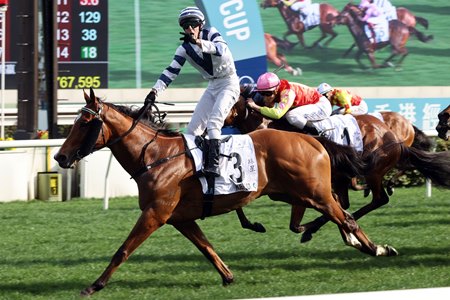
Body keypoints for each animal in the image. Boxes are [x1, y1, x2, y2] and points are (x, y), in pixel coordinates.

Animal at [53, 88, 398, 296]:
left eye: (84, 123)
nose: (60, 157)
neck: (154, 157)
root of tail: (312, 139)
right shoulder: (180, 218)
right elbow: (206, 247)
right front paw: (228, 276)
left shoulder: (155, 213)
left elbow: (123, 250)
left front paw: (94, 285)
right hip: (295, 193)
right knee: (336, 215)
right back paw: (350, 241)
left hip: (315, 193)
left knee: (346, 217)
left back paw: (376, 248)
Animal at [225, 96, 450, 241]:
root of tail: (393, 135)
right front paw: (252, 224)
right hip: (348, 174)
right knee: (352, 200)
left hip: (373, 170)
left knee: (379, 198)